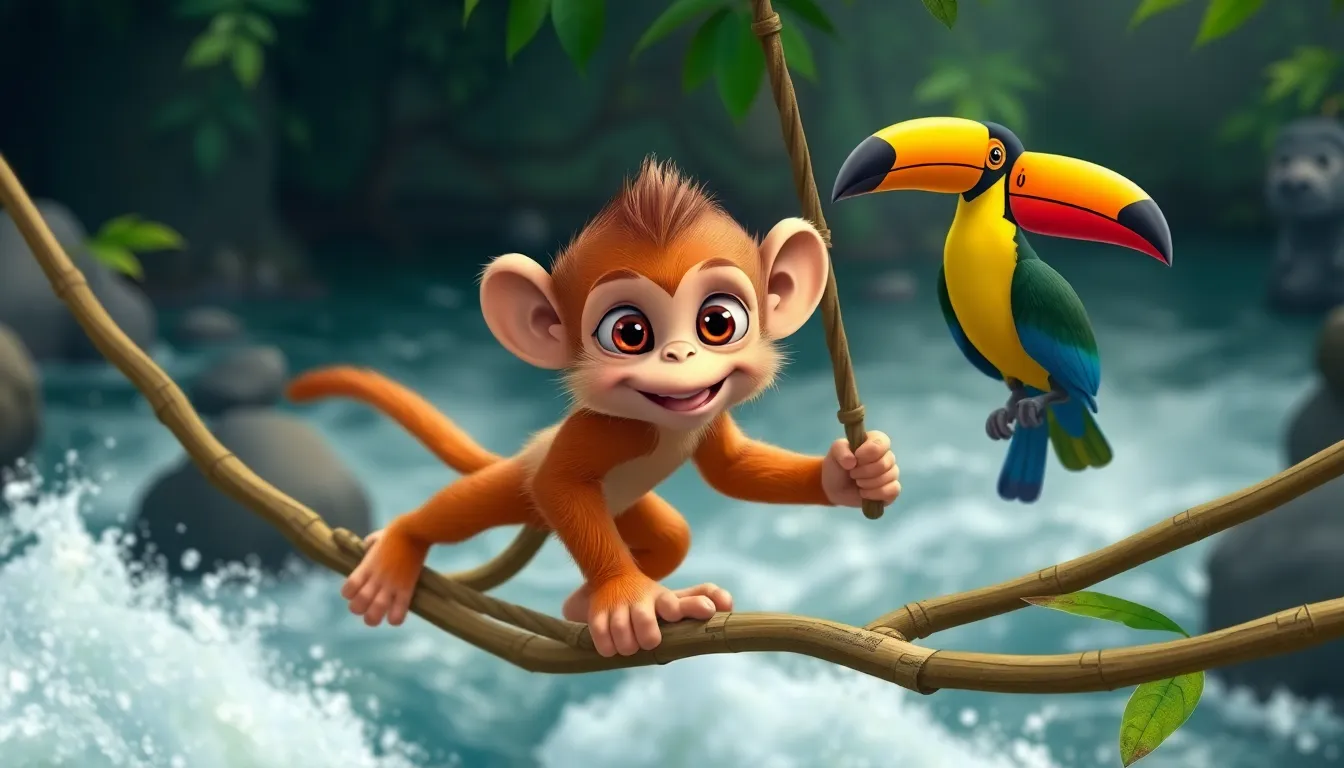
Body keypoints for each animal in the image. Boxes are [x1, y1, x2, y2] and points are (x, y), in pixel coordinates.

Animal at [285, 158, 901, 658]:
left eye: (718, 322)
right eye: (629, 333)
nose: (680, 355)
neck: (664, 425)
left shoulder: (708, 414)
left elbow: (732, 469)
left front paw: (854, 475)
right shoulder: (607, 431)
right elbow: (559, 482)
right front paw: (627, 602)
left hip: (627, 509)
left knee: (671, 535)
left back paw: (590, 604)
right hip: (519, 484)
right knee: (468, 505)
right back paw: (402, 546)